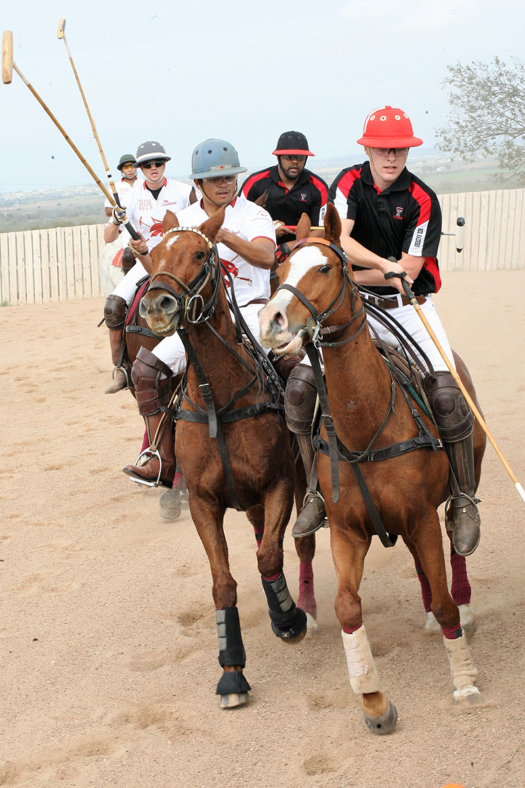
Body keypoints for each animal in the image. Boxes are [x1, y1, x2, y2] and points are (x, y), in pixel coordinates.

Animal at [137, 205, 314, 708]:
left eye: (201, 253)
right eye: (153, 254)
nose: (156, 304)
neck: (220, 397)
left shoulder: (279, 483)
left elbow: (271, 556)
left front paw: (288, 619)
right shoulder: (202, 501)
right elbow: (224, 581)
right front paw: (232, 671)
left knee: (294, 545)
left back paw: (302, 606)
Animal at [260, 206, 486, 736]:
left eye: (325, 268)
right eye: (279, 272)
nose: (271, 320)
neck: (366, 426)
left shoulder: (421, 517)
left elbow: (444, 596)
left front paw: (464, 681)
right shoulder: (348, 529)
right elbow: (347, 605)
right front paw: (373, 700)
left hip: (461, 468)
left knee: (456, 538)